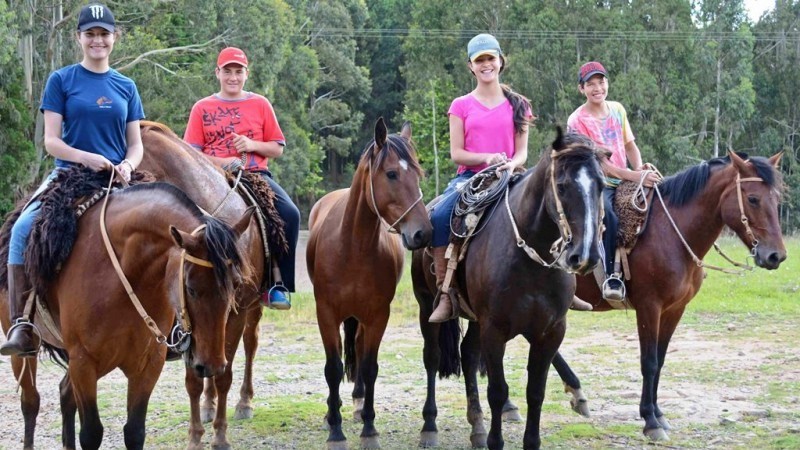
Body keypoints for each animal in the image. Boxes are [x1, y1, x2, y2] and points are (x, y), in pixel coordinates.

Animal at [2, 177, 250, 450]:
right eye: (190, 288)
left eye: (236, 284)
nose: (212, 366)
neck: (125, 274)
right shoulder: (83, 361)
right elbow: (91, 433)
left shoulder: (147, 365)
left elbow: (134, 432)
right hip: (27, 352)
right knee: (31, 402)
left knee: (65, 393)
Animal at [306, 118, 432, 448]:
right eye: (391, 174)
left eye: (418, 173)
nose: (423, 233)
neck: (353, 247)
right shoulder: (325, 313)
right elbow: (333, 368)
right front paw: (335, 430)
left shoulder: (377, 315)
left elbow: (370, 366)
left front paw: (369, 428)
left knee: (360, 351)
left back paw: (359, 404)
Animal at [412, 128, 608, 448]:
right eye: (562, 185)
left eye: (602, 186)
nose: (586, 255)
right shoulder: (495, 329)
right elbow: (497, 391)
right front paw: (495, 440)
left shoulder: (551, 330)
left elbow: (536, 392)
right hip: (427, 304)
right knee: (432, 357)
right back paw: (429, 427)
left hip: (476, 319)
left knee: (468, 355)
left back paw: (477, 427)